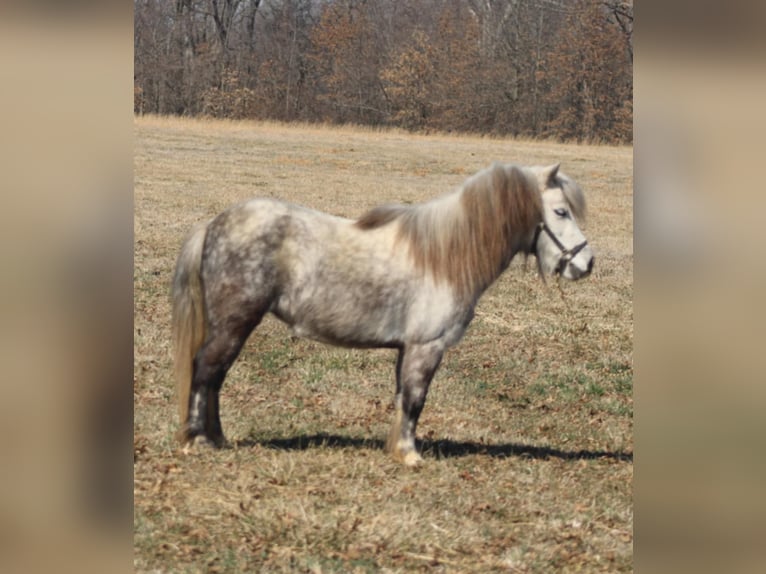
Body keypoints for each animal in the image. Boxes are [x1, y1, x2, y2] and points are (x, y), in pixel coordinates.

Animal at [172, 162, 592, 468]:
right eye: (560, 211)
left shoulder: (407, 349)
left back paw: (218, 439)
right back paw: (199, 441)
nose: (586, 263)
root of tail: (214, 224)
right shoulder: (426, 347)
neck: (443, 257)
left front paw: (398, 448)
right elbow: (416, 399)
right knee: (206, 371)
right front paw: (409, 455)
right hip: (234, 322)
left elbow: (403, 398)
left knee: (216, 377)